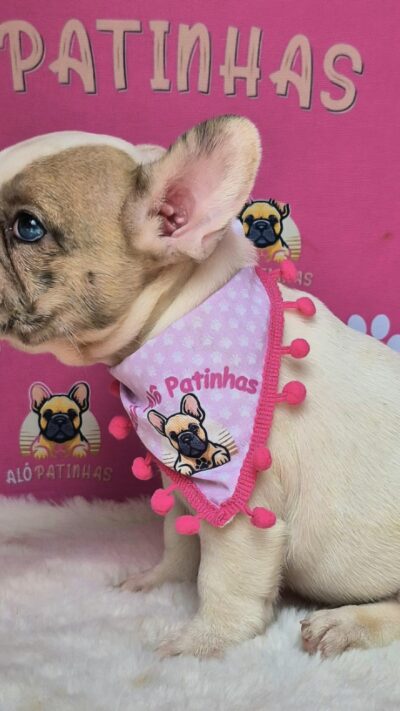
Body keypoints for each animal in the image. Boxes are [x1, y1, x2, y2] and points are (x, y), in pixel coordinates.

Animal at [0, 117, 399, 659]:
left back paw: (347, 623)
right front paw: (156, 582)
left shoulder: (242, 511)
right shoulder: (181, 484)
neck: (184, 311)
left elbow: (222, 578)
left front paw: (201, 641)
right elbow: (179, 539)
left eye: (28, 227)